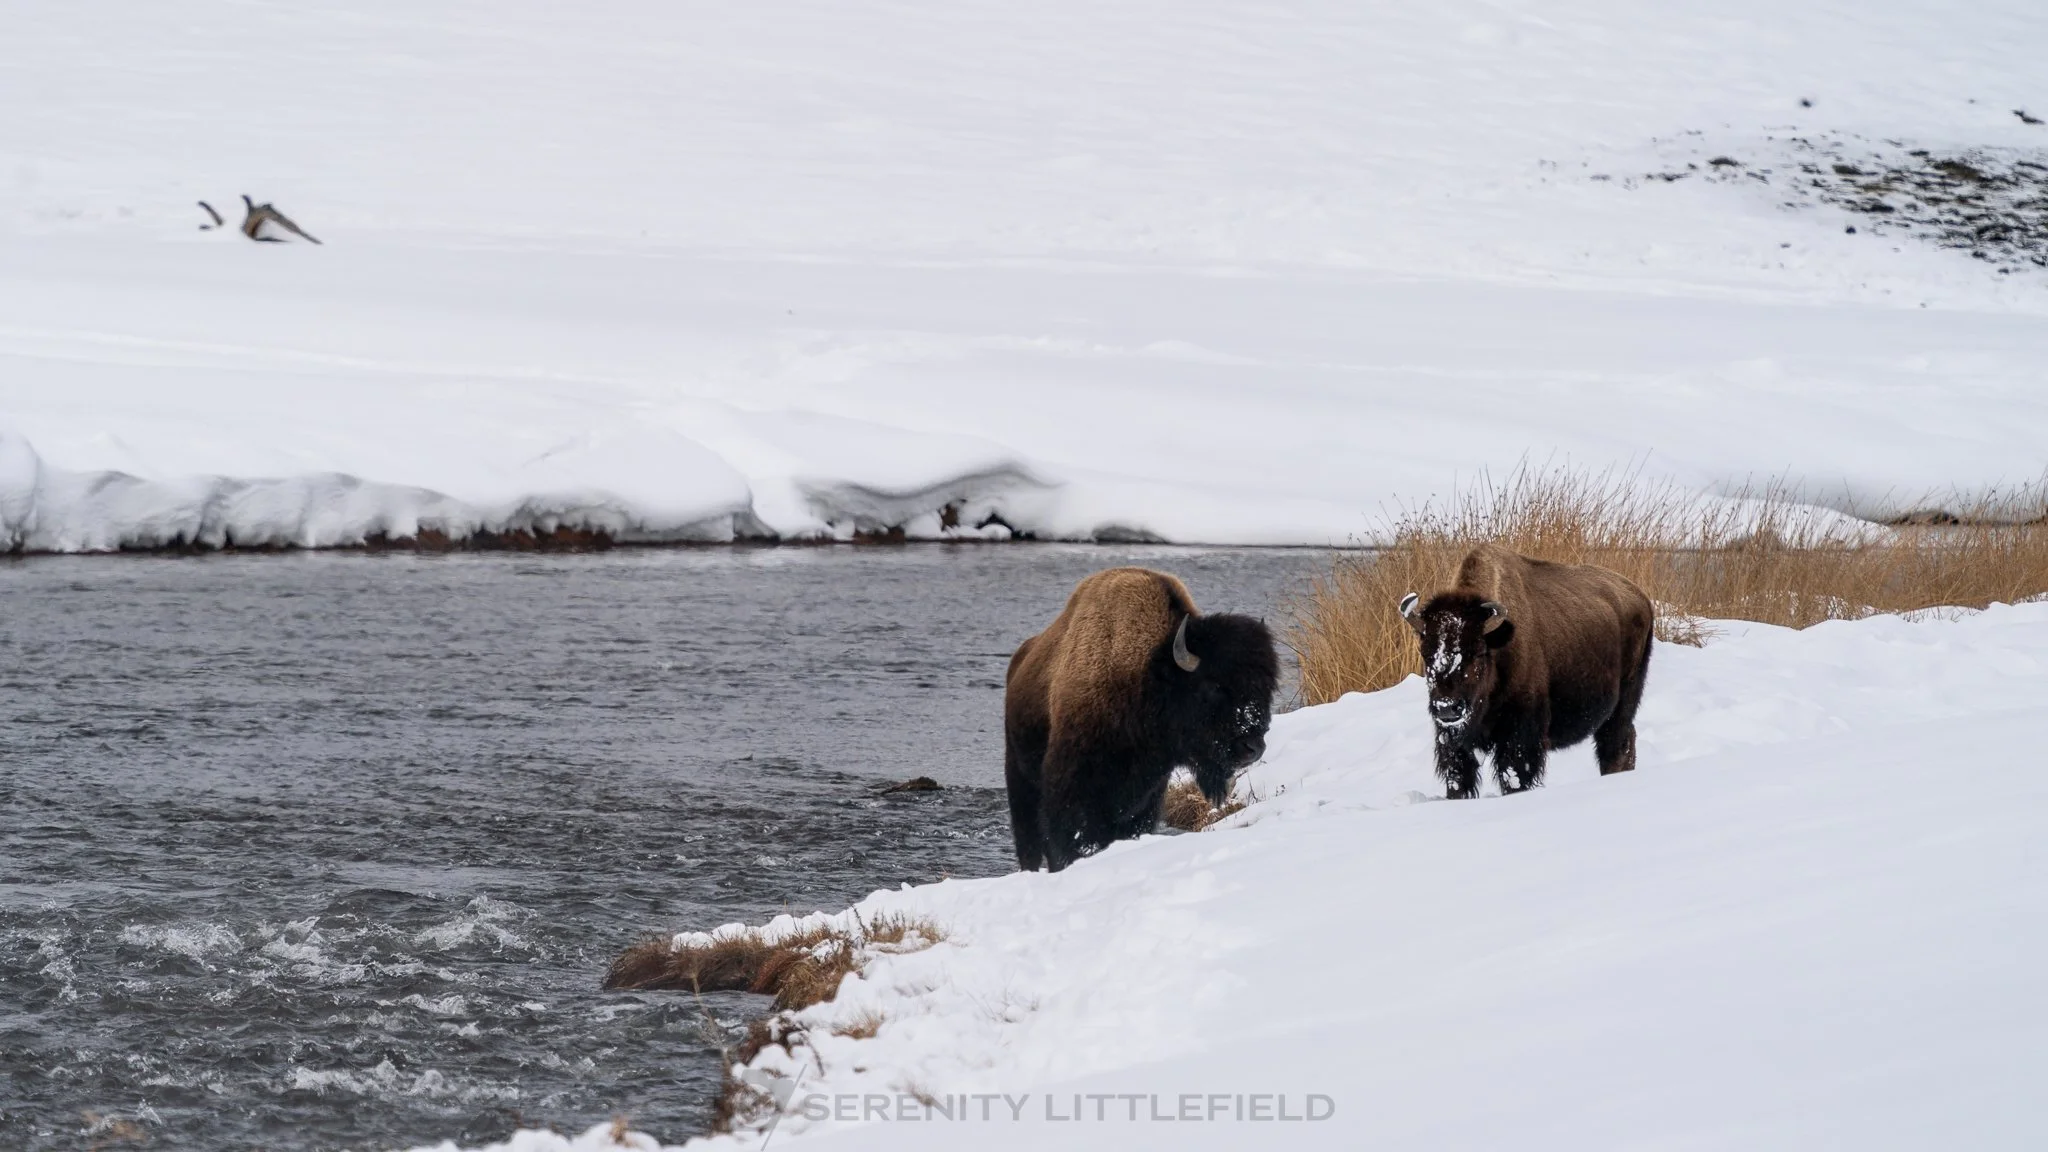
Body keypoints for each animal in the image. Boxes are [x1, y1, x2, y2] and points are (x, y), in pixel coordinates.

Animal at [1005, 567, 1279, 872]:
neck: (1148, 675)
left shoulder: (1146, 798)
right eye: (1213, 686)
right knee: (1029, 841)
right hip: (1020, 781)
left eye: (1267, 687)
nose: (1253, 748)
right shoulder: (1072, 791)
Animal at [1401, 544, 1654, 799]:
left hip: (1623, 703)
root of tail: (1641, 597)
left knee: (1614, 744)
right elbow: (1458, 777)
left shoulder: (1519, 735)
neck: (1498, 641)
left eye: (1478, 652)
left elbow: (1513, 776)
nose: (1447, 708)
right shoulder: (1453, 741)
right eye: (1426, 653)